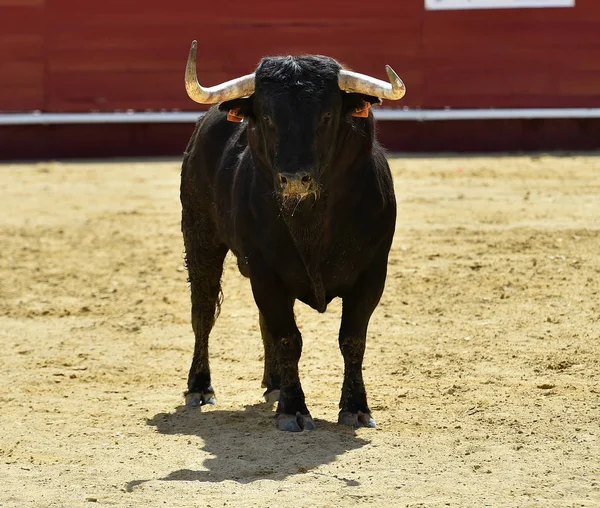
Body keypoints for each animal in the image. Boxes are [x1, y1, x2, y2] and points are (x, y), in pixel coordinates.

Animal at [178, 52, 404, 432]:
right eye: (268, 117)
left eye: (326, 115)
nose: (295, 179)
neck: (311, 221)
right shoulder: (265, 272)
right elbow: (288, 337)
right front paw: (293, 410)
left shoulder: (373, 272)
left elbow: (352, 338)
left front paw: (356, 408)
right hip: (200, 238)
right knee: (203, 311)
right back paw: (199, 387)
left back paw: (273, 383)